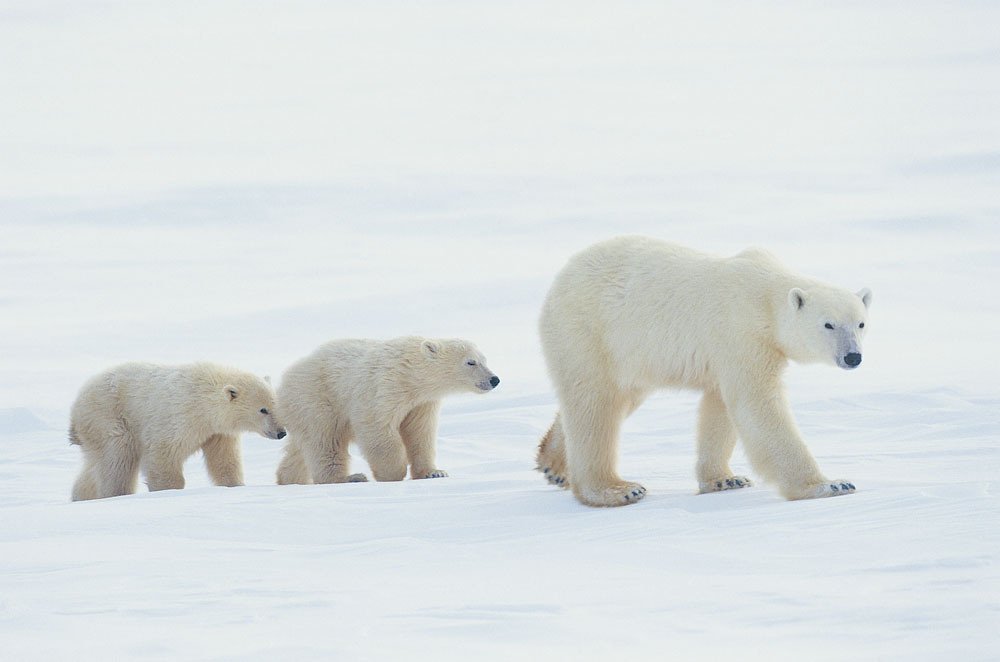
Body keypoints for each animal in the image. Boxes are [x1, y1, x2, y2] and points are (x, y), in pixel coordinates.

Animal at [536, 237, 872, 508]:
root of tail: (559, 279)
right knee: (595, 405)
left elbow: (719, 407)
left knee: (616, 399)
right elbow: (758, 406)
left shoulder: (728, 352)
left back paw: (554, 464)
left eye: (860, 323)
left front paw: (725, 479)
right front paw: (831, 484)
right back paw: (617, 489)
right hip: (589, 331)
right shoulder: (742, 334)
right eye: (828, 324)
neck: (765, 297)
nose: (853, 356)